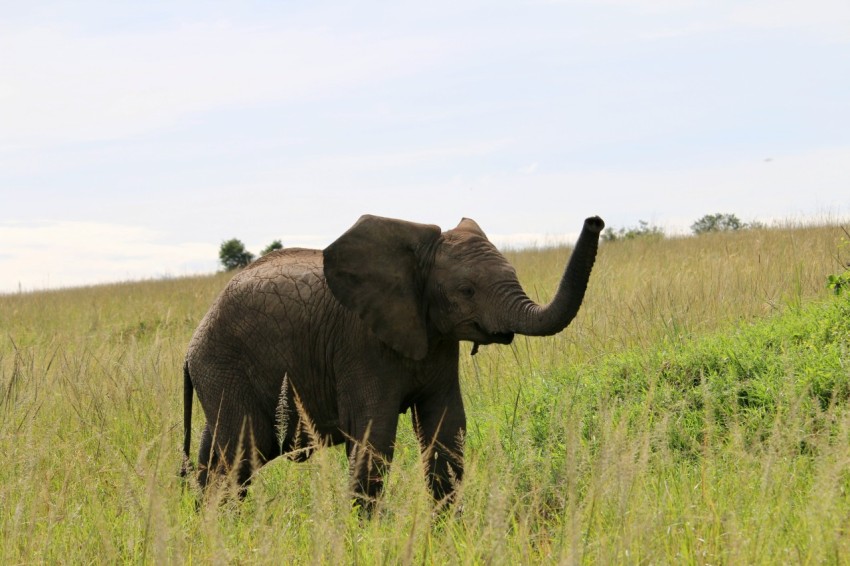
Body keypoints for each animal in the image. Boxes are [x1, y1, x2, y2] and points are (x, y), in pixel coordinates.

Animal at [181, 213, 600, 510]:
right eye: (466, 290)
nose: (595, 220)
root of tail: (190, 348)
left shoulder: (437, 339)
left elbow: (447, 432)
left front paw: (446, 534)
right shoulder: (361, 344)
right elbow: (375, 438)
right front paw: (365, 537)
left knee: (216, 455)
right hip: (224, 364)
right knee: (239, 454)